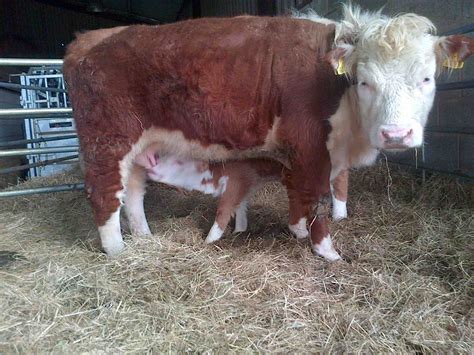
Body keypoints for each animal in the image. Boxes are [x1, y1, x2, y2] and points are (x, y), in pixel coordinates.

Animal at [64, 3, 474, 262]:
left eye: (427, 78)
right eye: (364, 81)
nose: (396, 134)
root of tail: (89, 38)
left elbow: (305, 195)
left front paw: (298, 231)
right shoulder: (309, 143)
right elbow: (313, 196)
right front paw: (325, 250)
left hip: (139, 143)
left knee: (133, 192)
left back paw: (144, 239)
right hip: (107, 139)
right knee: (105, 193)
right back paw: (117, 252)